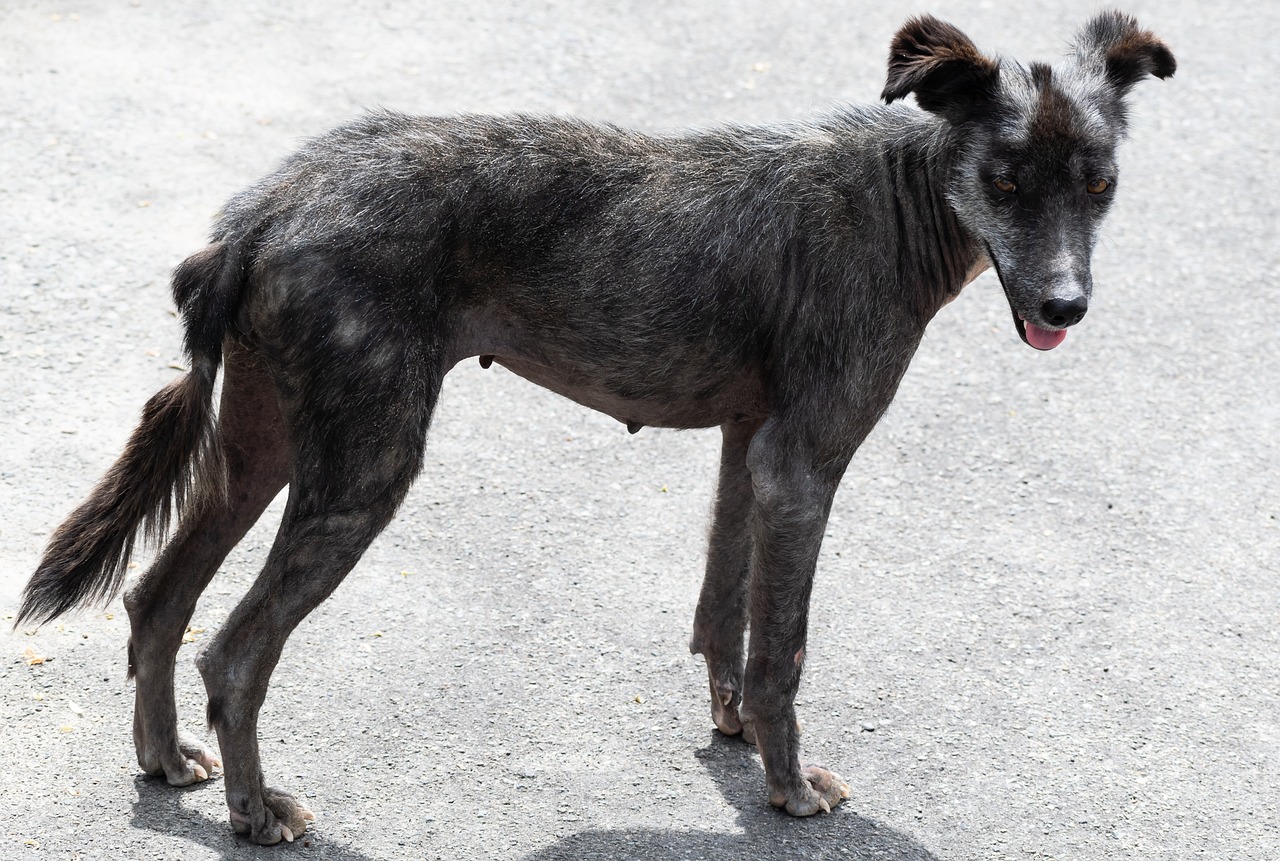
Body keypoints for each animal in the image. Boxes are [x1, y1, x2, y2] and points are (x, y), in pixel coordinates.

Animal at [15, 11, 1172, 844]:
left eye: (1100, 184)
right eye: (1005, 180)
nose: (1065, 306)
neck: (897, 197)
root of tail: (262, 209)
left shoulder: (747, 447)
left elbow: (724, 614)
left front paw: (734, 732)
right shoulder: (803, 465)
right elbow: (783, 645)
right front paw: (788, 787)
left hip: (266, 443)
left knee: (159, 598)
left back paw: (167, 763)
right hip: (365, 465)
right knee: (234, 651)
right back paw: (257, 813)